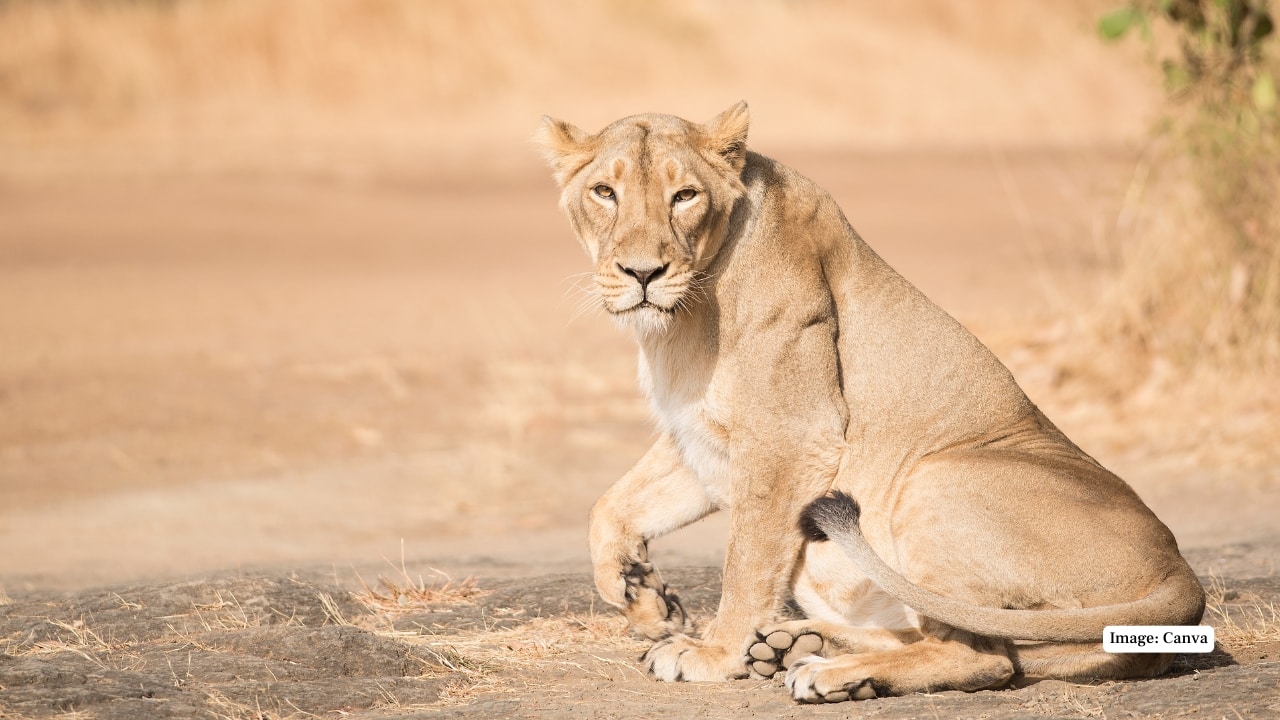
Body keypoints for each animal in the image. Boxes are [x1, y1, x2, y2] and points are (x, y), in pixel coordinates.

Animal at [534, 102, 1205, 703]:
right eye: (604, 192)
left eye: (685, 196)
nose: (642, 273)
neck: (681, 321)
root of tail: (1181, 571)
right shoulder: (701, 434)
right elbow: (610, 506)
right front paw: (643, 599)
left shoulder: (791, 434)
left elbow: (746, 559)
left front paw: (714, 652)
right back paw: (793, 645)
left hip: (936, 481)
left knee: (982, 657)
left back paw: (829, 672)